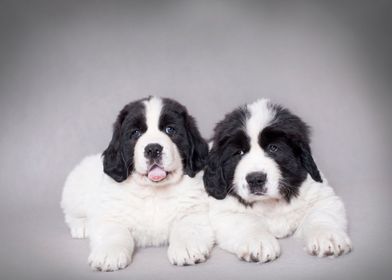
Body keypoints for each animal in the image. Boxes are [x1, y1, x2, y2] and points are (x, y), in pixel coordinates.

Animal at [61, 97, 214, 272]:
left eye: (170, 130)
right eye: (135, 133)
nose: (153, 149)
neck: (154, 192)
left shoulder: (195, 211)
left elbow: (188, 226)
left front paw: (186, 248)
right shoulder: (111, 214)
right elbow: (114, 232)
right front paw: (109, 254)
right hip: (76, 189)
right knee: (70, 213)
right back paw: (82, 226)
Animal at [205, 99, 352, 264]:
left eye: (273, 148)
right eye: (239, 152)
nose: (255, 179)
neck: (271, 203)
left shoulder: (322, 195)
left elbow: (321, 214)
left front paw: (328, 237)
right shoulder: (223, 211)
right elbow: (244, 221)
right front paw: (259, 242)